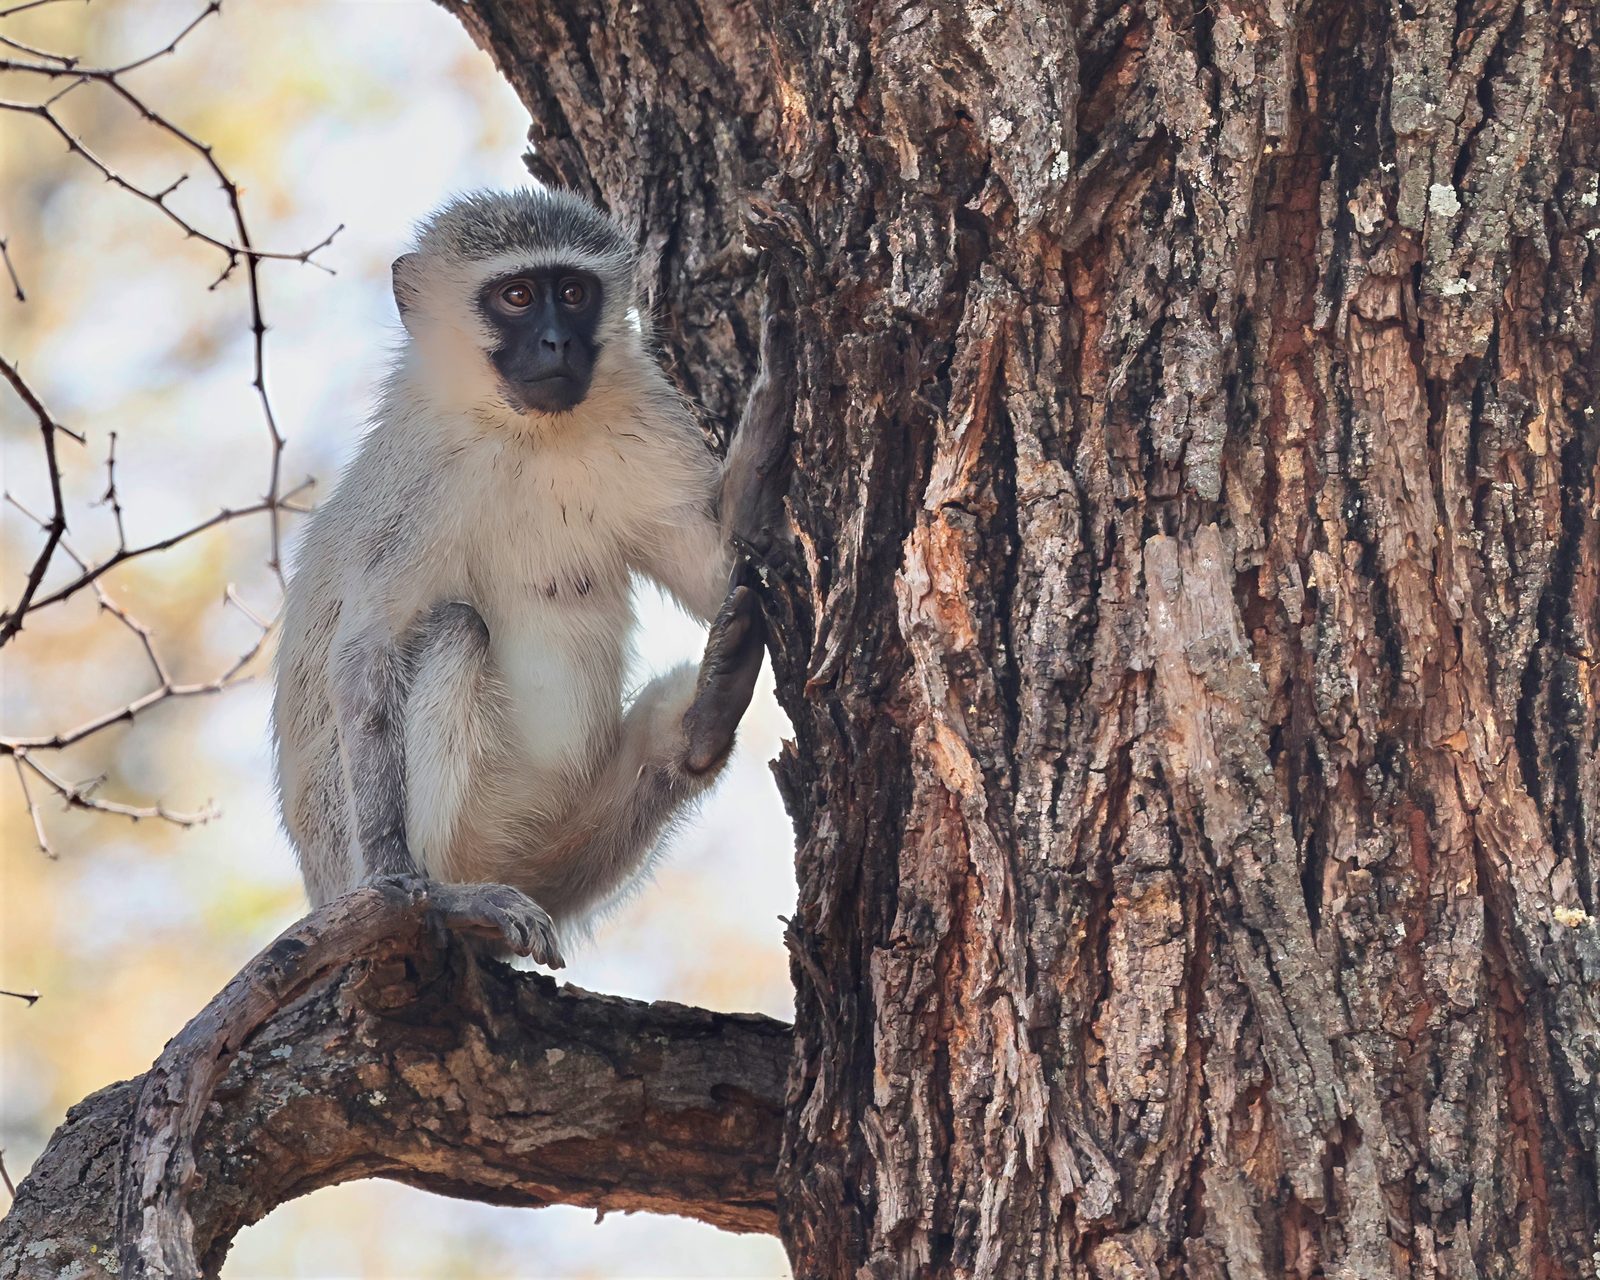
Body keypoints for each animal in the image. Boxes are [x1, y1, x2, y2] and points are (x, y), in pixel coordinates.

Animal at [271, 187, 789, 968]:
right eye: (516, 296)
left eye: (572, 292)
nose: (557, 344)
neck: (526, 432)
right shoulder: (415, 486)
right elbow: (368, 649)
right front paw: (395, 866)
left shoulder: (649, 421)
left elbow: (719, 579)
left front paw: (766, 422)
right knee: (454, 628)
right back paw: (454, 901)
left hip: (564, 848)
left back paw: (703, 720)